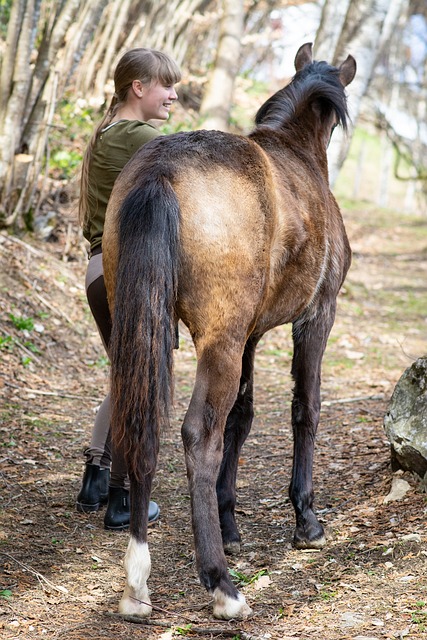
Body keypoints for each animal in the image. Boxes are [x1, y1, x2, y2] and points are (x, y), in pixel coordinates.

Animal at [103, 41, 358, 620]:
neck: (296, 153)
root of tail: (160, 171)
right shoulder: (317, 317)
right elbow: (304, 409)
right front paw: (306, 520)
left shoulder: (253, 334)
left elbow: (242, 418)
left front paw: (231, 523)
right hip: (217, 342)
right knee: (199, 436)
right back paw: (221, 584)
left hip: (143, 333)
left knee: (142, 428)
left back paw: (137, 582)